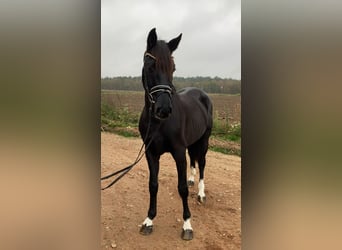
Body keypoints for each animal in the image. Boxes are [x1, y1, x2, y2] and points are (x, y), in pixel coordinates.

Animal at [138, 28, 212, 241]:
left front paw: (187, 225)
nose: (163, 109)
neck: (159, 124)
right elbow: (153, 185)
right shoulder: (150, 153)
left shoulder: (178, 152)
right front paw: (149, 220)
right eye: (150, 66)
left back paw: (201, 193)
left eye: (173, 68)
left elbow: (182, 189)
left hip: (204, 141)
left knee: (202, 163)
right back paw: (191, 178)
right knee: (194, 160)